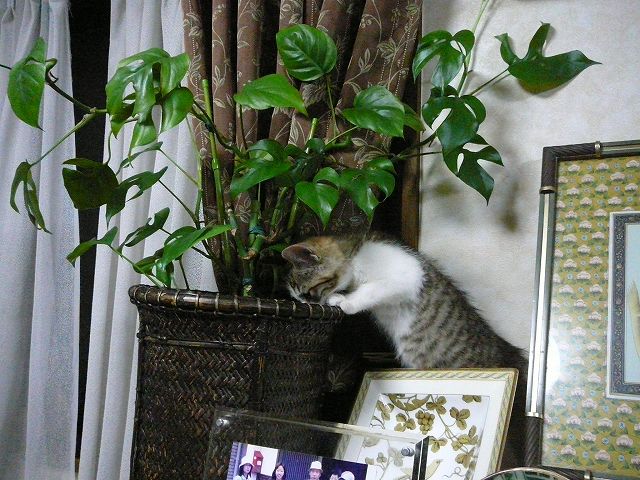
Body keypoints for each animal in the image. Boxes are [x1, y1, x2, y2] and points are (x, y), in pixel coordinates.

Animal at [282, 233, 528, 465]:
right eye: (301, 299)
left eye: (309, 292)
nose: (313, 306)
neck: (356, 260)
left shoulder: (407, 272)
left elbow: (369, 289)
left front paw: (344, 301)